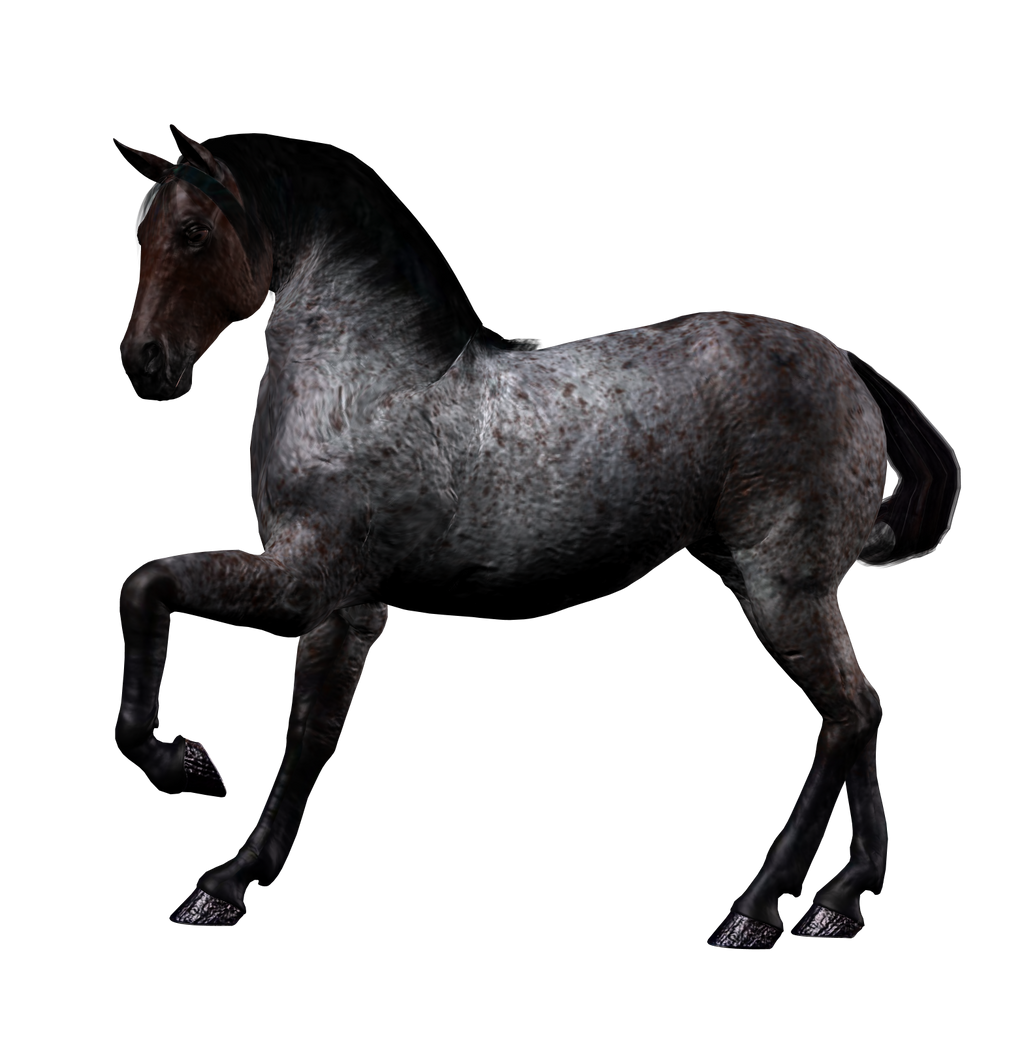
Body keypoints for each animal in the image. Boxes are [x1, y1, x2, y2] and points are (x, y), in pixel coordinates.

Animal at [112, 123, 961, 943]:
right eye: (139, 229)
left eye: (192, 231)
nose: (144, 365)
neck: (368, 382)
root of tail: (845, 361)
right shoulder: (348, 609)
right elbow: (310, 735)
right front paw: (227, 886)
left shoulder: (308, 575)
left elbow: (148, 582)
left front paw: (186, 764)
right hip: (776, 591)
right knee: (861, 710)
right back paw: (841, 904)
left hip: (787, 587)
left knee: (846, 717)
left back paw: (757, 912)